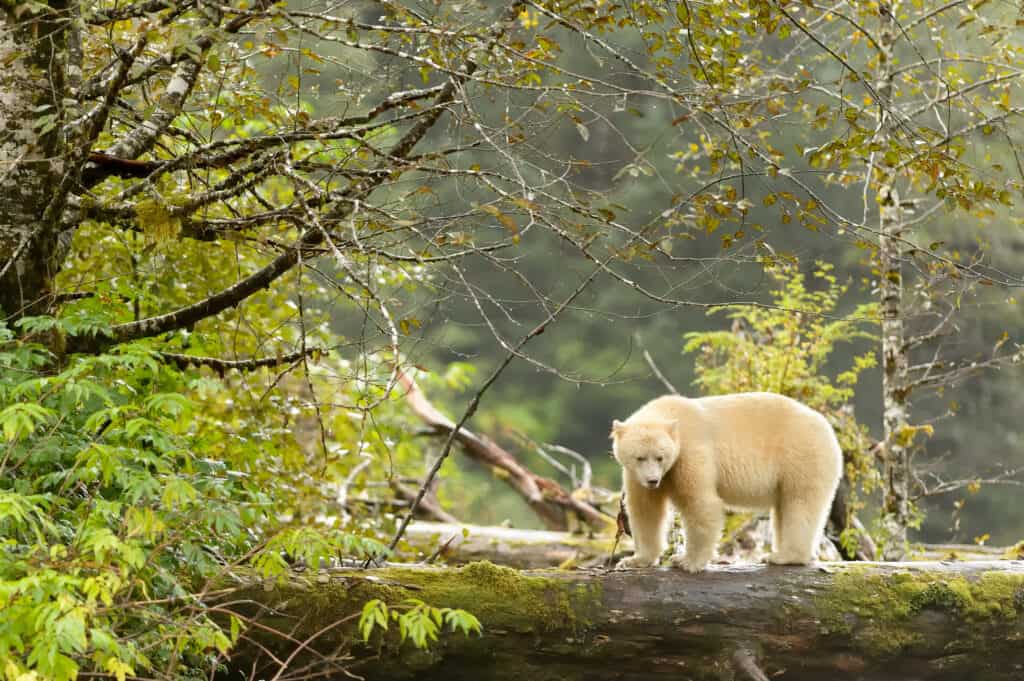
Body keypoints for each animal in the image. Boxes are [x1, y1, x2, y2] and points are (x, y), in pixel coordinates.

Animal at [611, 392, 842, 572]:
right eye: (639, 457)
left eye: (660, 457)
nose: (652, 480)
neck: (671, 413)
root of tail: (828, 429)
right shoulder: (637, 475)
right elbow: (645, 510)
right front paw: (633, 560)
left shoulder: (690, 451)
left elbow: (700, 503)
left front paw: (687, 561)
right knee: (785, 507)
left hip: (801, 455)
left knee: (800, 503)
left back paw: (784, 556)